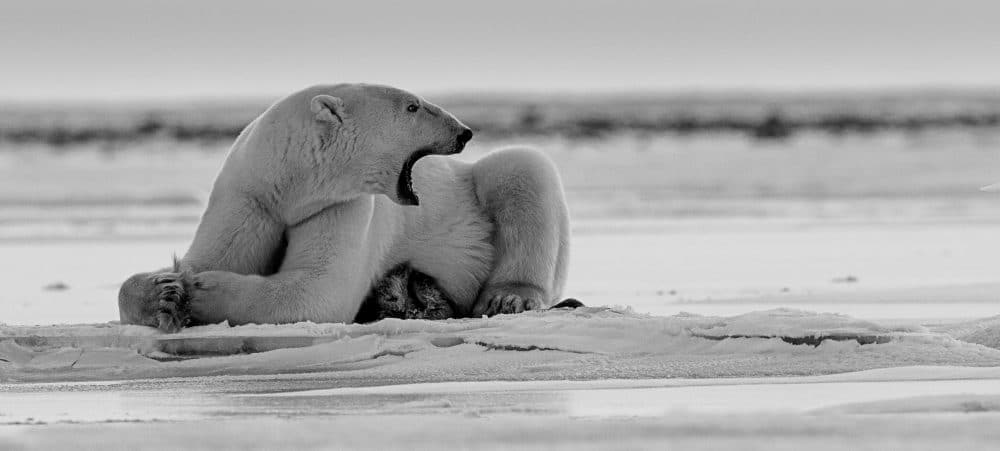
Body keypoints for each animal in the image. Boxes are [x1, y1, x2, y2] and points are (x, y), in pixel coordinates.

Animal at [117, 83, 570, 331]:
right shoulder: (247, 200)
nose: (463, 131)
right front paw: (164, 291)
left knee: (521, 167)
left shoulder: (342, 205)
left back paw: (506, 297)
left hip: (472, 187)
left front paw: (199, 290)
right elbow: (210, 256)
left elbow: (318, 288)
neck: (288, 185)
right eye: (412, 106)